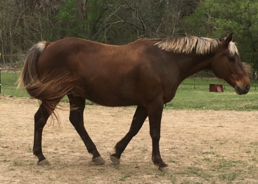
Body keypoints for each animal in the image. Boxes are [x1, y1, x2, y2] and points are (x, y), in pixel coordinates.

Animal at [18, 32, 250, 171]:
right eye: (231, 58)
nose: (246, 85)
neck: (165, 60)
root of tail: (47, 45)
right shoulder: (155, 103)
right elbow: (154, 133)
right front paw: (159, 162)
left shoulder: (145, 104)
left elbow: (134, 128)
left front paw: (116, 153)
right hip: (55, 95)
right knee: (40, 119)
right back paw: (41, 156)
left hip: (75, 95)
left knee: (76, 121)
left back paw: (96, 155)